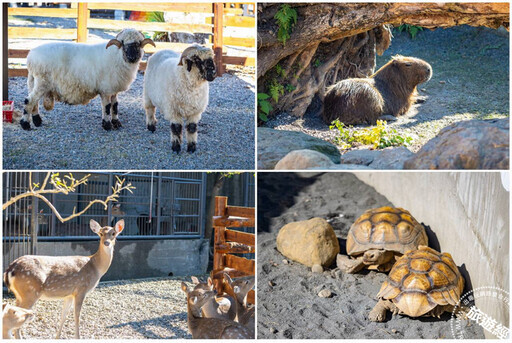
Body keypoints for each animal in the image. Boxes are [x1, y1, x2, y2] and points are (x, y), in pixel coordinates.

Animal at [20, 28, 156, 131]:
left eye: (138, 43)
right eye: (123, 43)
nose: (132, 57)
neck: (116, 56)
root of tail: (30, 57)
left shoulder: (113, 89)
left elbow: (115, 106)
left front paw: (116, 123)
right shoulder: (106, 89)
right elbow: (107, 107)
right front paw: (107, 125)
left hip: (34, 81)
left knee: (34, 102)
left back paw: (37, 121)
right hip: (42, 82)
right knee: (29, 101)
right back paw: (25, 124)